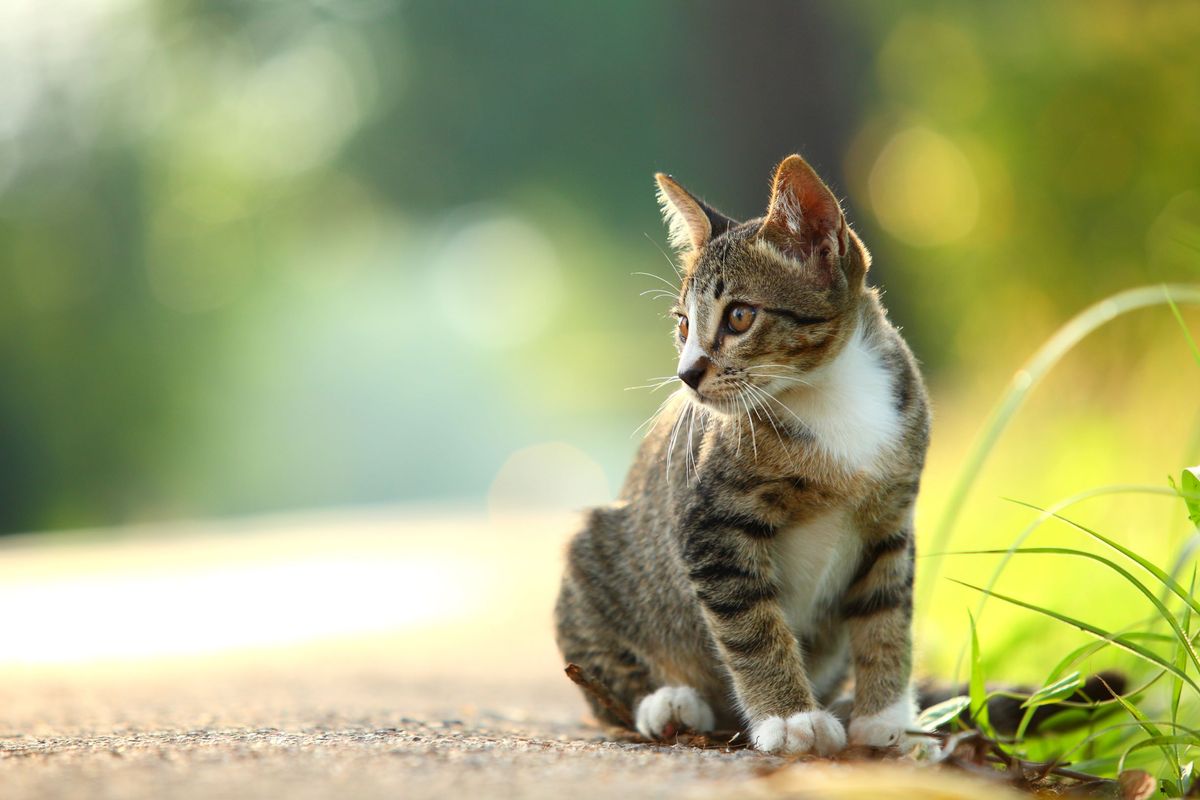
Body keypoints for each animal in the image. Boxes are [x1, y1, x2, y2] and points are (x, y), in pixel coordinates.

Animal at [552, 153, 926, 753]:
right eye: (684, 324)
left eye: (740, 317)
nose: (686, 374)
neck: (828, 392)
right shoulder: (711, 524)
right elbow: (752, 626)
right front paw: (789, 718)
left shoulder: (891, 519)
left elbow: (886, 612)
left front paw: (886, 719)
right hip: (598, 554)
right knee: (603, 680)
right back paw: (666, 702)